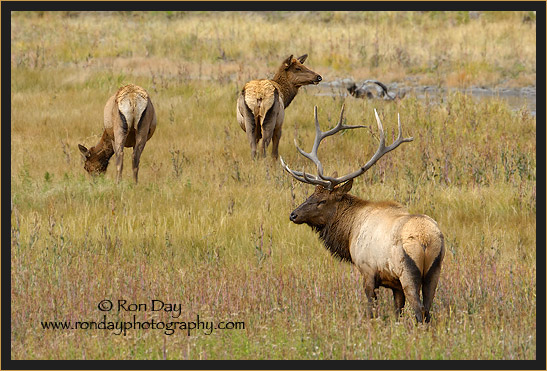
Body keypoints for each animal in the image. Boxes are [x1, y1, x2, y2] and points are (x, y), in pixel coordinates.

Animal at [282, 104, 446, 322]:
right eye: (311, 194)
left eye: (322, 201)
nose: (293, 214)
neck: (350, 231)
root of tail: (426, 240)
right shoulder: (394, 284)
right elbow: (397, 310)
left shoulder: (367, 270)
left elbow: (371, 307)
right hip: (434, 271)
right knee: (428, 310)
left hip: (407, 271)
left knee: (419, 311)